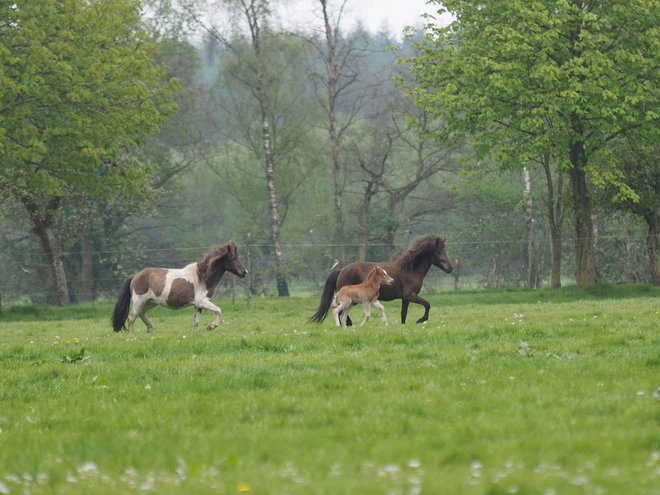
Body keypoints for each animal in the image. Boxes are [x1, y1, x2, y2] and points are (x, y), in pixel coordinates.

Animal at [111, 241, 248, 334]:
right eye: (232, 258)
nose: (244, 272)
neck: (202, 278)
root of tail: (136, 275)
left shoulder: (198, 305)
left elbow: (196, 321)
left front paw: (196, 334)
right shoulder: (202, 302)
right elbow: (218, 310)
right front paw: (211, 326)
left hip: (150, 302)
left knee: (141, 313)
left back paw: (150, 329)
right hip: (139, 300)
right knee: (132, 316)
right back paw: (132, 335)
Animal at [310, 236, 454, 326]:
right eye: (439, 252)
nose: (450, 267)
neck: (410, 269)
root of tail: (341, 270)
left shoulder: (405, 299)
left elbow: (404, 314)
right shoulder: (410, 296)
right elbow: (427, 304)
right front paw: (421, 319)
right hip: (350, 299)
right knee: (339, 311)